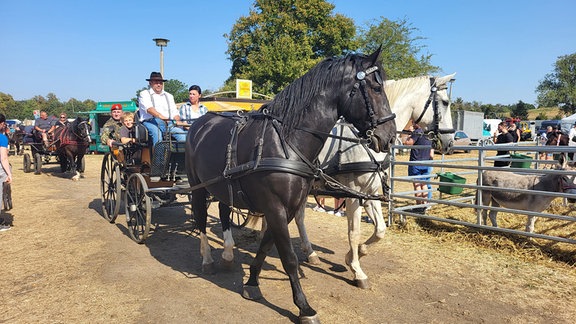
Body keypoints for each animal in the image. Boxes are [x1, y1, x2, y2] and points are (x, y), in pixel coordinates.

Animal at [184, 46, 396, 322]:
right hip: (198, 187)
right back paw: (208, 259)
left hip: (224, 186)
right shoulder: (276, 208)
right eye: (377, 88)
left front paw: (252, 283)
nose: (390, 137)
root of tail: (201, 122)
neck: (286, 141)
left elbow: (265, 247)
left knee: (223, 211)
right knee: (200, 218)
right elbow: (289, 258)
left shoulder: (287, 208)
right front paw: (304, 307)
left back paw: (228, 255)